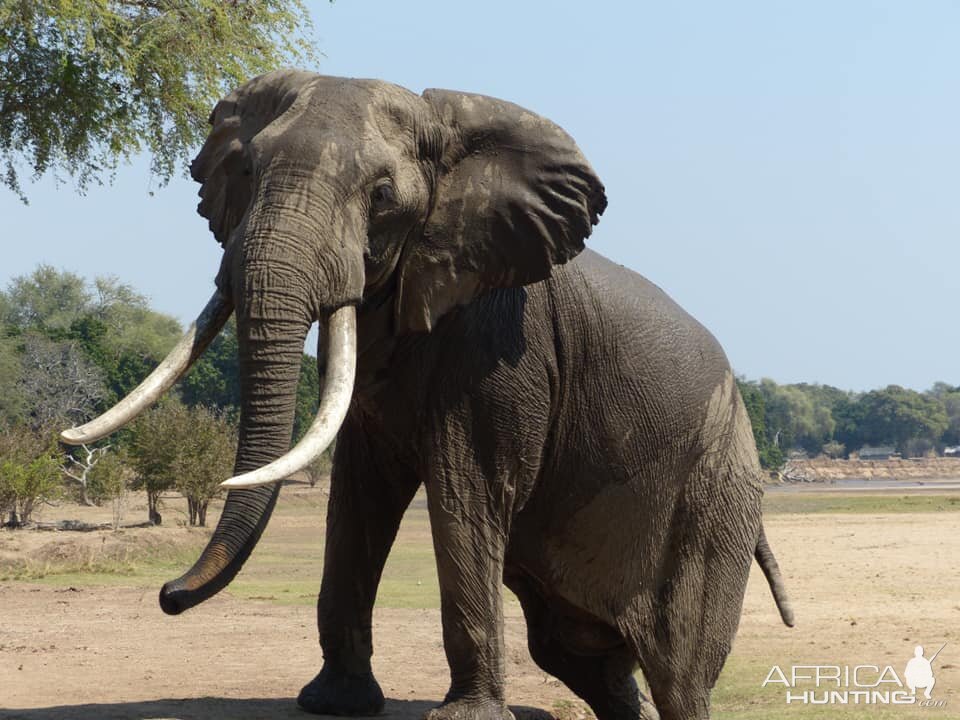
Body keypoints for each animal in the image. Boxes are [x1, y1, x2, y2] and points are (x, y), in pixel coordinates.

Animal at [62, 69, 796, 720]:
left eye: (383, 196)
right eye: (245, 174)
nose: (167, 594)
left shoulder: (499, 348)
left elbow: (467, 488)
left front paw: (466, 716)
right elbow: (360, 489)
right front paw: (333, 703)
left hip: (715, 494)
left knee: (679, 675)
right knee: (580, 658)